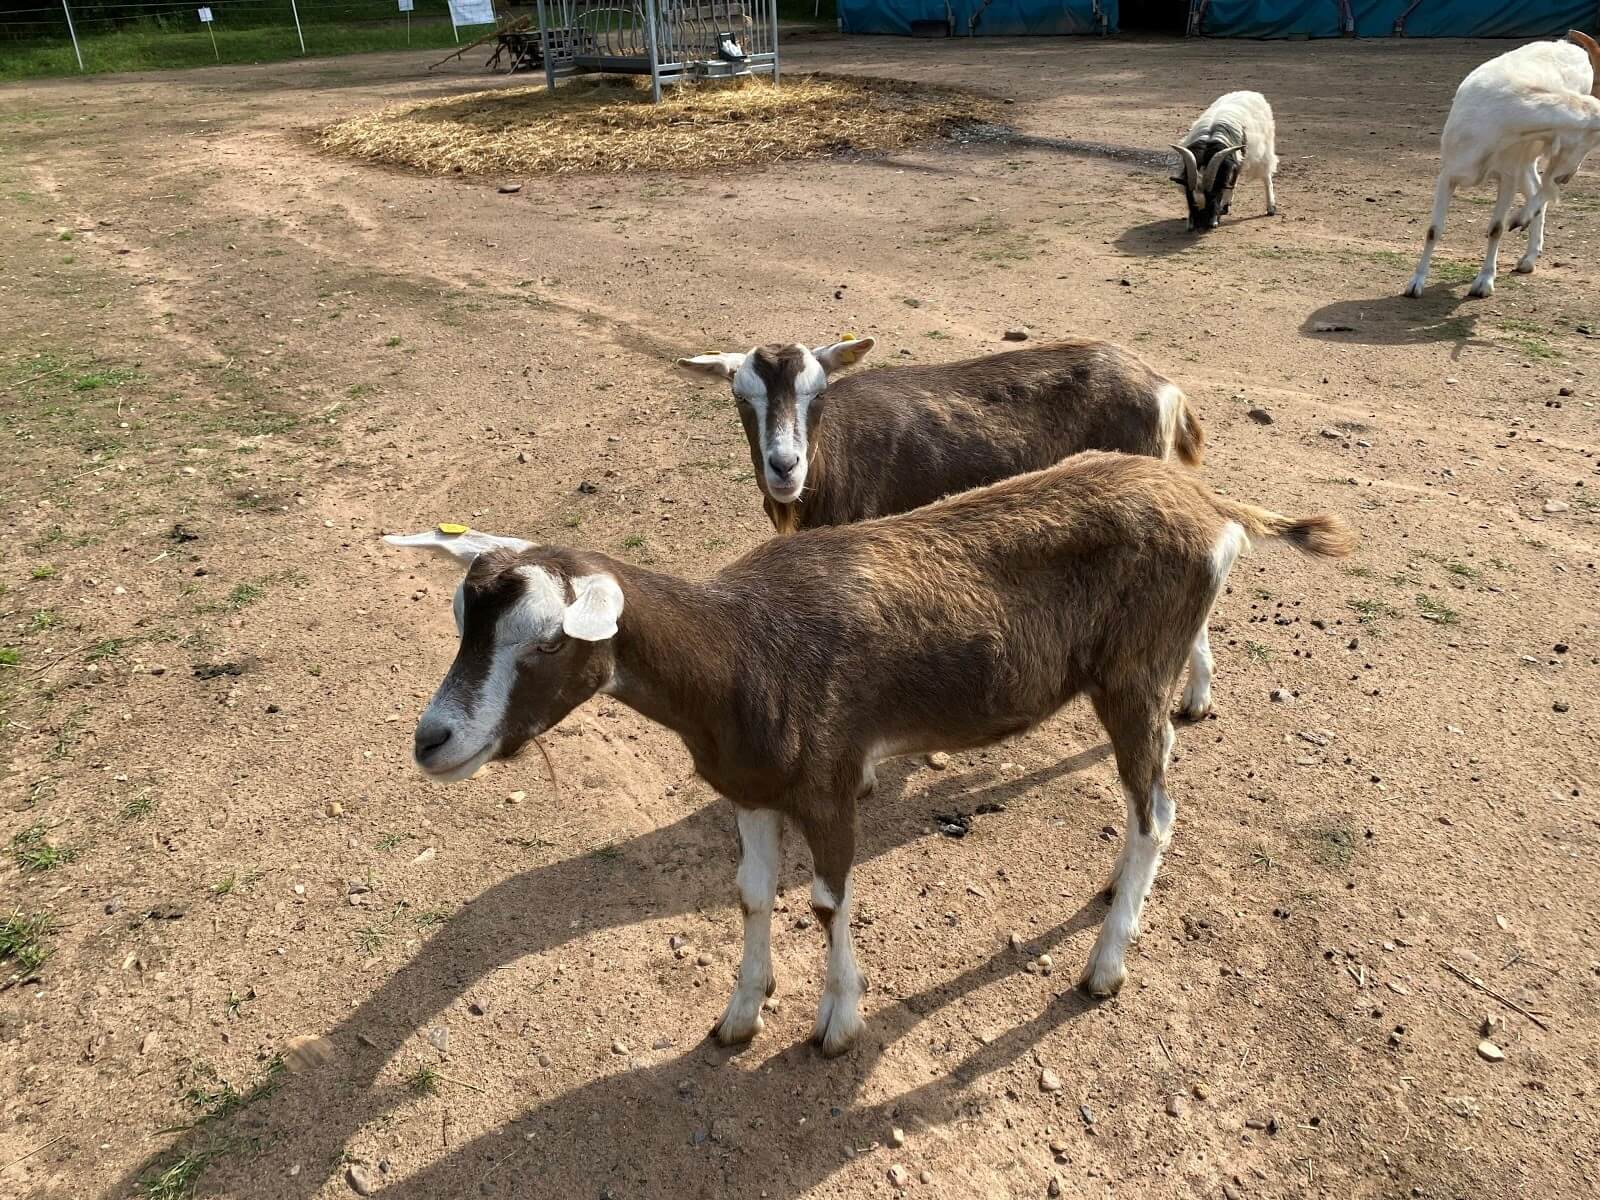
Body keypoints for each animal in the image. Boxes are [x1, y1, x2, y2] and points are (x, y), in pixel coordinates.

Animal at [387, 454, 1350, 1056]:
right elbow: (750, 895)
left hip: (1137, 674)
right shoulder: (749, 788)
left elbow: (825, 901)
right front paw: (740, 1014)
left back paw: (1104, 967)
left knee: (1157, 810)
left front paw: (837, 1024)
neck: (743, 654)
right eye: (461, 621)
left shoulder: (830, 782)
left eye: (548, 640)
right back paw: (1116, 895)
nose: (434, 741)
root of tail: (1216, 508)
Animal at [675, 334, 1222, 720]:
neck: (835, 460)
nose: (784, 467)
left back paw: (1195, 697)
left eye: (820, 393)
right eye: (741, 398)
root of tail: (1163, 388)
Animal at [1171, 90, 1280, 232]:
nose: (1201, 224)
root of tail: (1252, 93)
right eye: (1189, 198)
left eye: (1214, 195)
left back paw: (1270, 208)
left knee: (1266, 175)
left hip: (1265, 146)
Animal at [1401, 32, 1600, 300]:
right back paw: (1527, 255)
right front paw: (1415, 284)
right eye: (1593, 138)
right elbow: (1433, 229)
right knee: (1539, 185)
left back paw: (1523, 231)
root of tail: (1570, 48)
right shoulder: (1448, 174)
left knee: (1543, 190)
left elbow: (1496, 228)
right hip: (1531, 160)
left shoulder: (1507, 177)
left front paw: (1483, 283)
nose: (1570, 175)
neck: (1495, 119)